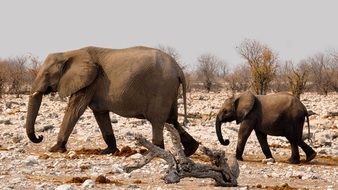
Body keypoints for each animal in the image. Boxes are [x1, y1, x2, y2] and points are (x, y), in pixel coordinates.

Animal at [27, 45, 201, 156]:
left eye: (46, 74)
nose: (40, 137)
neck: (69, 53)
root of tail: (178, 69)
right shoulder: (94, 84)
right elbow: (100, 113)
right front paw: (108, 151)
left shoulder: (90, 82)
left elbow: (75, 110)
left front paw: (54, 149)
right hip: (169, 90)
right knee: (172, 120)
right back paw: (190, 150)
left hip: (162, 88)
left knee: (158, 121)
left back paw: (156, 151)